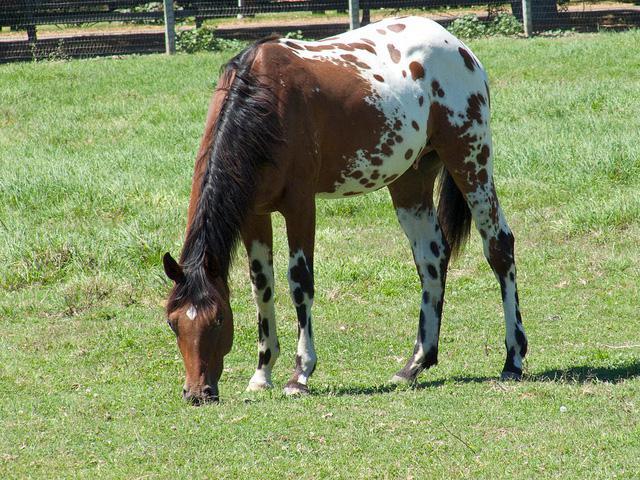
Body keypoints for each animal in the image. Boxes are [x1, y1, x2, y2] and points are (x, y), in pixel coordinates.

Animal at [162, 15, 528, 404]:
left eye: (218, 319)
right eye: (173, 322)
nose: (197, 393)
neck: (263, 102)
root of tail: (456, 45)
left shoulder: (300, 205)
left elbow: (299, 282)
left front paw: (300, 374)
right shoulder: (253, 214)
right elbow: (262, 285)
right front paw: (262, 373)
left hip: (470, 161)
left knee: (499, 246)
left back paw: (513, 359)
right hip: (410, 182)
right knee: (432, 259)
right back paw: (414, 364)